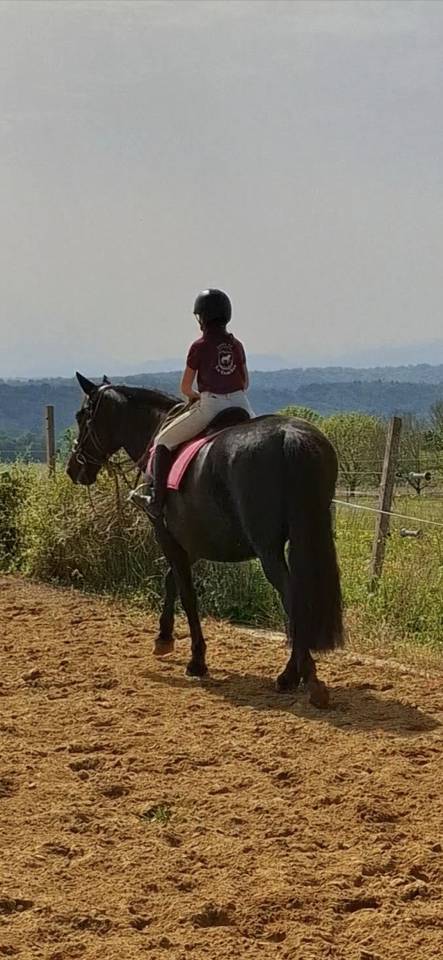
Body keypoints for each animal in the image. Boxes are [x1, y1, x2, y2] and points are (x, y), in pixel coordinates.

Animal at [66, 372, 343, 708]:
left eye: (82, 416)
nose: (73, 468)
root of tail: (291, 437)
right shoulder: (193, 542)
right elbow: (171, 581)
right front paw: (163, 639)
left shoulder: (167, 537)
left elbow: (186, 594)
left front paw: (196, 660)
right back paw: (297, 675)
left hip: (269, 550)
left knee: (292, 599)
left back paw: (301, 678)